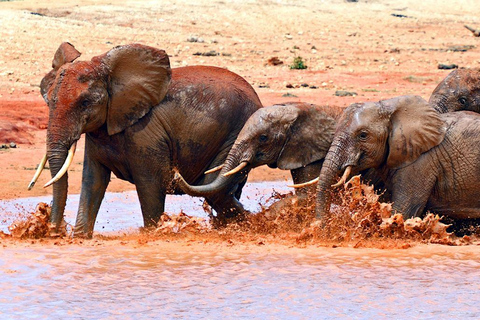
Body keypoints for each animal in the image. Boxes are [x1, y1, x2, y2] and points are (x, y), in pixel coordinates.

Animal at [29, 42, 262, 238]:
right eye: (49, 101)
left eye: (85, 102)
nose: (54, 232)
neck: (113, 76)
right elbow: (93, 181)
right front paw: (80, 238)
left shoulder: (145, 134)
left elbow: (150, 185)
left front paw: (153, 235)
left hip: (239, 132)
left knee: (214, 189)